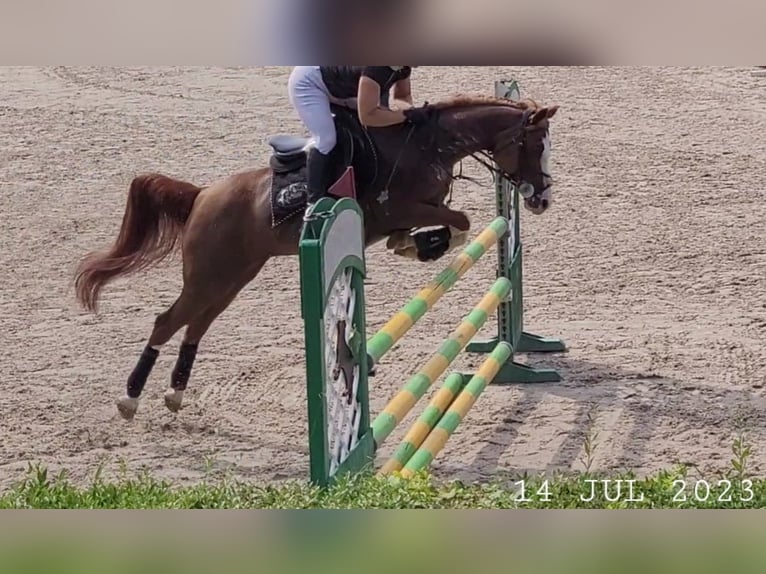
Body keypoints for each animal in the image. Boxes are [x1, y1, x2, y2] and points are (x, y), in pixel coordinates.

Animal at [73, 94, 560, 420]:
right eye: (535, 146)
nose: (542, 201)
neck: (429, 145)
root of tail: (202, 194)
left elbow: (453, 223)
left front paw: (413, 245)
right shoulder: (400, 208)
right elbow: (458, 220)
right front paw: (422, 246)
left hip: (232, 277)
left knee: (197, 324)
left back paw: (174, 395)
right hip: (208, 275)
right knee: (166, 321)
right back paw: (130, 398)